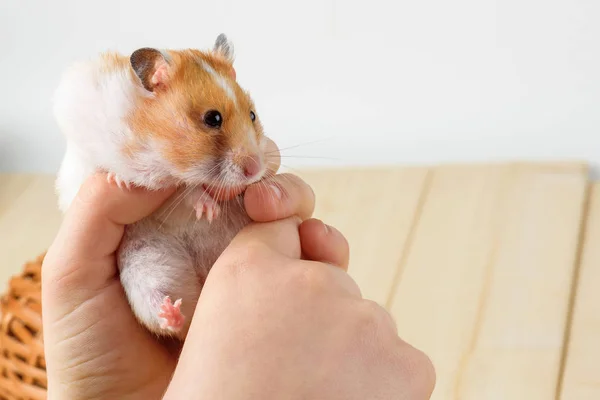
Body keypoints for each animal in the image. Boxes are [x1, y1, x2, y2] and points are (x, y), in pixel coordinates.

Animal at [54, 35, 270, 340]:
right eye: (212, 118)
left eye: (252, 115)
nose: (256, 170)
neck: (156, 147)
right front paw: (118, 180)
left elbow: (187, 190)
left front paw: (210, 210)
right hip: (146, 266)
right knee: (166, 312)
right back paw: (170, 313)